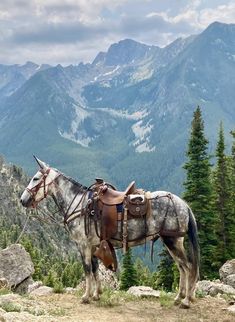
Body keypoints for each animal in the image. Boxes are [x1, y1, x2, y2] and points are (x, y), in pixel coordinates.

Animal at [20, 157, 200, 308]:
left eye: (36, 178)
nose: (22, 200)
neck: (80, 204)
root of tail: (184, 204)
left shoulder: (83, 245)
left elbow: (87, 269)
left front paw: (86, 296)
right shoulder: (93, 246)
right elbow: (94, 269)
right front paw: (96, 294)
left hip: (172, 241)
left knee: (189, 267)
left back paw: (186, 300)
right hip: (172, 241)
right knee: (182, 267)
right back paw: (179, 298)